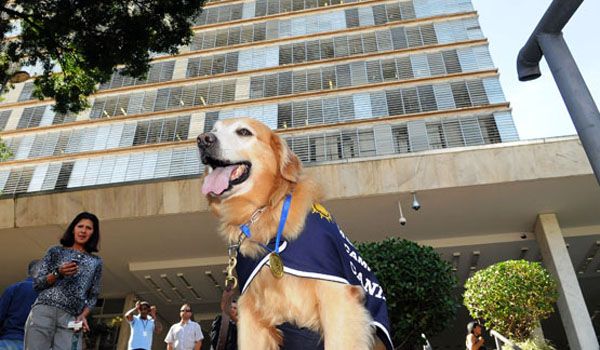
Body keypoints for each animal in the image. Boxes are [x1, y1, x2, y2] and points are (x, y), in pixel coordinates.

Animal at [198, 117, 394, 350]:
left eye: (244, 132)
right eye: (213, 129)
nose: (203, 139)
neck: (267, 211)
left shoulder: (338, 297)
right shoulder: (251, 314)